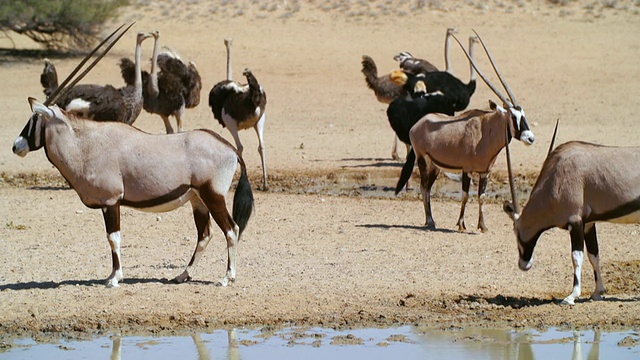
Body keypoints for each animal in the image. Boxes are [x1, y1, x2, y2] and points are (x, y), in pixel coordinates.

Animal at [11, 25, 254, 288]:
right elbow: (112, 238)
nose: (16, 146)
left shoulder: (111, 201)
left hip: (213, 196)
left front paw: (114, 278)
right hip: (197, 199)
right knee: (205, 234)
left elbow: (113, 237)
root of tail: (230, 149)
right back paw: (182, 275)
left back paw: (227, 277)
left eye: (34, 119)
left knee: (231, 229)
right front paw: (111, 275)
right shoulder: (108, 203)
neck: (85, 144)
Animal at [396, 32, 536, 232]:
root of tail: (418, 125)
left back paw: (429, 220)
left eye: (523, 114)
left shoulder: (485, 172)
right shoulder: (467, 170)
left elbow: (481, 197)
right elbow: (465, 195)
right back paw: (430, 221)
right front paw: (461, 224)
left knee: (428, 187)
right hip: (422, 159)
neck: (486, 131)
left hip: (435, 165)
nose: (530, 138)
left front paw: (483, 226)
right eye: (513, 116)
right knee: (423, 187)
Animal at [504, 138, 640, 304]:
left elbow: (576, 256)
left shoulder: (575, 222)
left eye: (516, 232)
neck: (555, 177)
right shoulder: (588, 224)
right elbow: (594, 255)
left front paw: (572, 296)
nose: (523, 265)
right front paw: (598, 292)